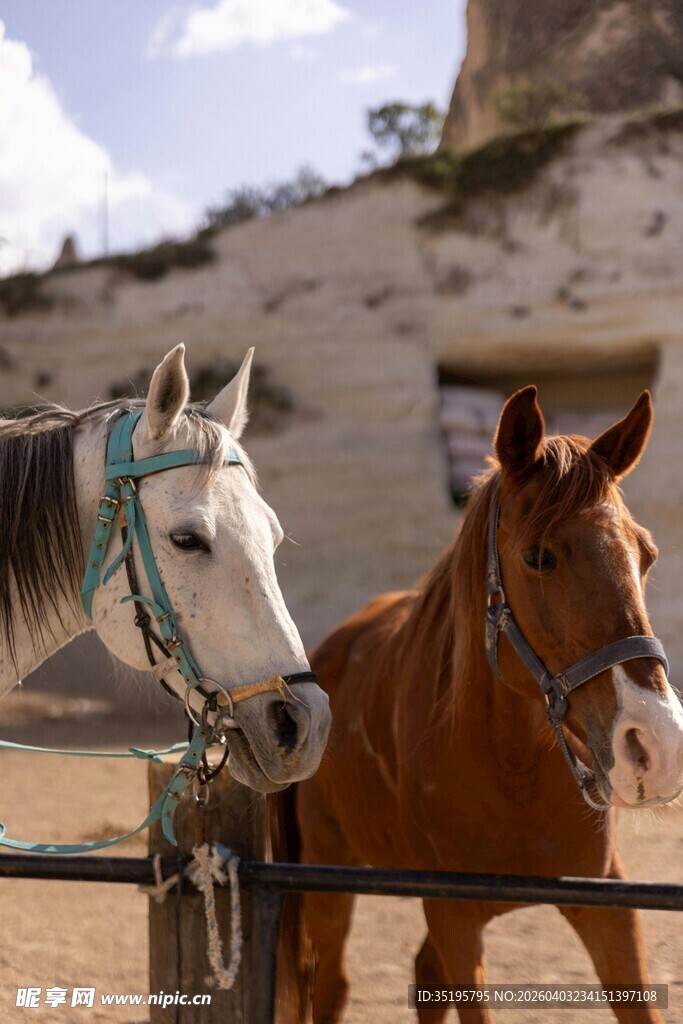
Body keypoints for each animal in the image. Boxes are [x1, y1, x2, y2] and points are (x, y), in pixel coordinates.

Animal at [275, 386, 683, 1024]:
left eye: (646, 555)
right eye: (539, 557)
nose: (656, 744)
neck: (509, 767)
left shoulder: (606, 908)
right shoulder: (455, 916)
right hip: (327, 878)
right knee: (331, 987)